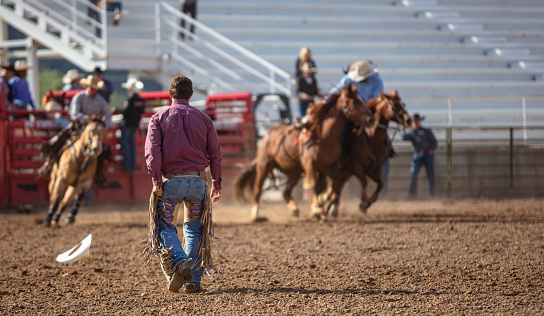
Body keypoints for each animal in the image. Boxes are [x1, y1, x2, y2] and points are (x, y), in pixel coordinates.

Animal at [234, 84, 374, 222]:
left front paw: (321, 209)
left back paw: (294, 208)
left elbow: (331, 185)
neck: (324, 136)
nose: (371, 119)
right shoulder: (310, 165)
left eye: (363, 100)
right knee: (258, 189)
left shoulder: (327, 168)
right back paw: (255, 215)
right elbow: (316, 186)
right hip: (264, 165)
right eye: (355, 102)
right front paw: (317, 210)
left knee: (285, 190)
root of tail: (267, 134)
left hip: (294, 172)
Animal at [324, 89, 412, 217]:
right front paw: (363, 203)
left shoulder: (374, 168)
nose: (408, 120)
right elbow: (364, 182)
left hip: (344, 172)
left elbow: (380, 184)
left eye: (403, 104)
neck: (371, 138)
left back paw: (333, 207)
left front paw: (367, 203)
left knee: (338, 186)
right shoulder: (356, 167)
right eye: (395, 105)